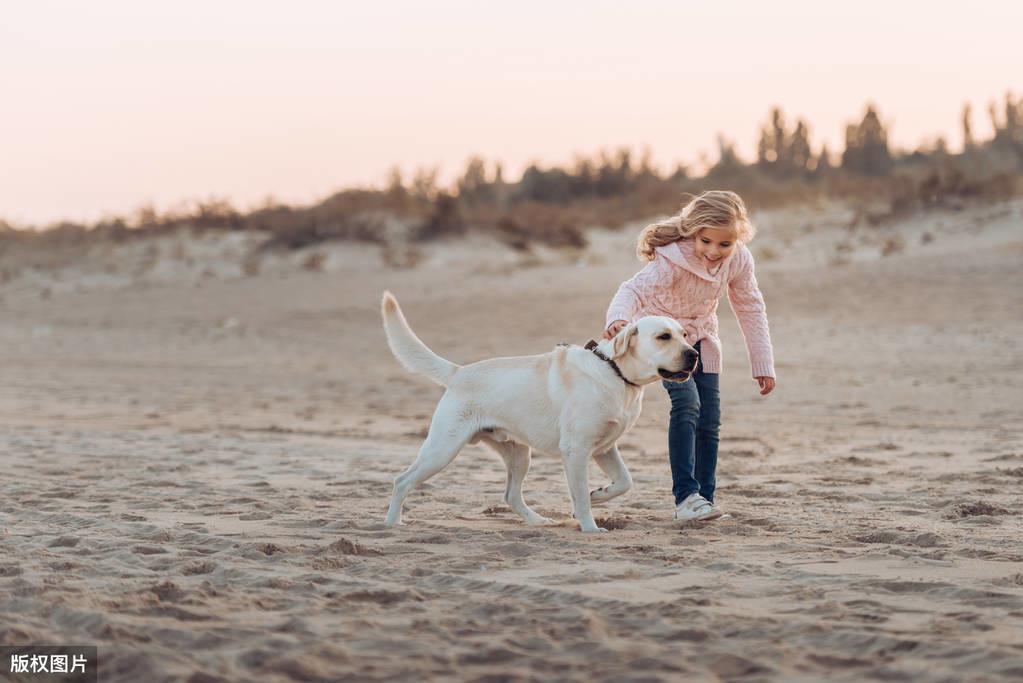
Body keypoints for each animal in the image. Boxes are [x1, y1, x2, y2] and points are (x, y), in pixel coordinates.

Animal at [380, 290, 699, 531]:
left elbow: (624, 482)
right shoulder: (577, 449)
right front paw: (590, 526)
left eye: (684, 334)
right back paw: (393, 523)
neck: (615, 372)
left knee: (511, 494)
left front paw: (599, 494)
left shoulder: (605, 448)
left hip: (519, 454)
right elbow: (580, 494)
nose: (694, 354)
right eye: (663, 337)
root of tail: (458, 371)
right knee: (401, 480)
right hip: (443, 448)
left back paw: (537, 521)